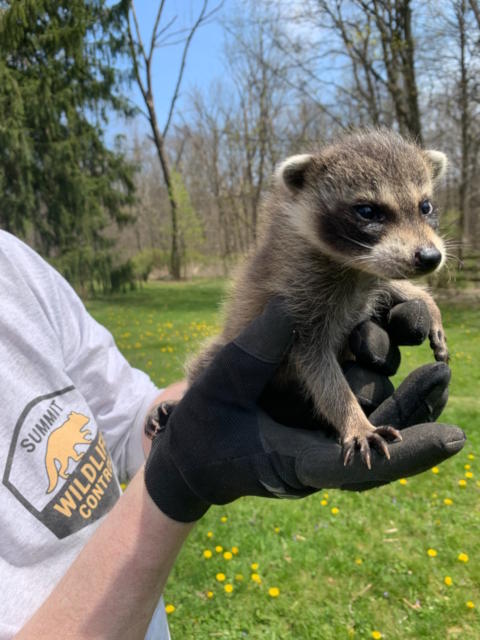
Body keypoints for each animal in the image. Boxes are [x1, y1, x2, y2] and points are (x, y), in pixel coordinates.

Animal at [188, 130, 450, 470]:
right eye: (368, 211)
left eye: (425, 206)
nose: (431, 257)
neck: (353, 266)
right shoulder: (298, 296)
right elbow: (318, 366)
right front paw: (353, 418)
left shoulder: (369, 273)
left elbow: (391, 285)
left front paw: (428, 304)